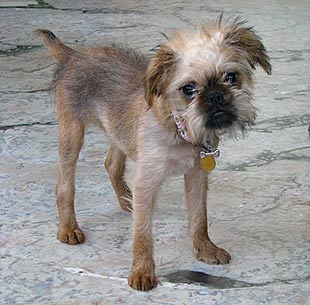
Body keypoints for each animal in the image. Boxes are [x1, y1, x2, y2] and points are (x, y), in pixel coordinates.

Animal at [37, 16, 272, 290]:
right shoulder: (147, 181)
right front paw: (142, 271)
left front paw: (205, 249)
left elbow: (199, 217)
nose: (215, 96)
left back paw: (126, 200)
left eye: (231, 77)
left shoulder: (196, 176)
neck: (178, 127)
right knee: (65, 185)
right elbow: (142, 233)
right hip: (72, 135)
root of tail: (74, 55)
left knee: (111, 164)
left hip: (118, 131)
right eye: (188, 89)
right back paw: (68, 228)